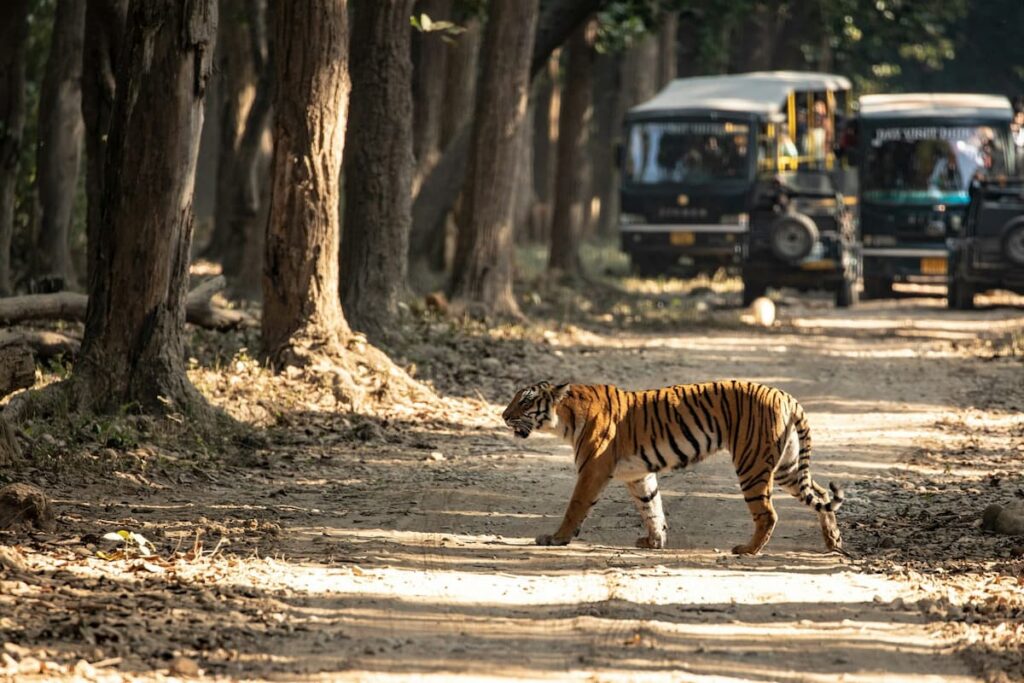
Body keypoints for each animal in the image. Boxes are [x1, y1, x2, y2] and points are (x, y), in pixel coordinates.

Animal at [502, 380, 844, 555]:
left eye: (524, 402)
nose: (503, 415)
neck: (565, 419)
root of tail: (785, 394)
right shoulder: (639, 474)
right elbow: (651, 508)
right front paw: (654, 542)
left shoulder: (592, 470)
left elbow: (575, 506)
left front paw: (556, 538)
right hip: (786, 467)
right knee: (822, 494)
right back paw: (833, 541)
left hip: (753, 464)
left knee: (768, 513)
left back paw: (747, 549)